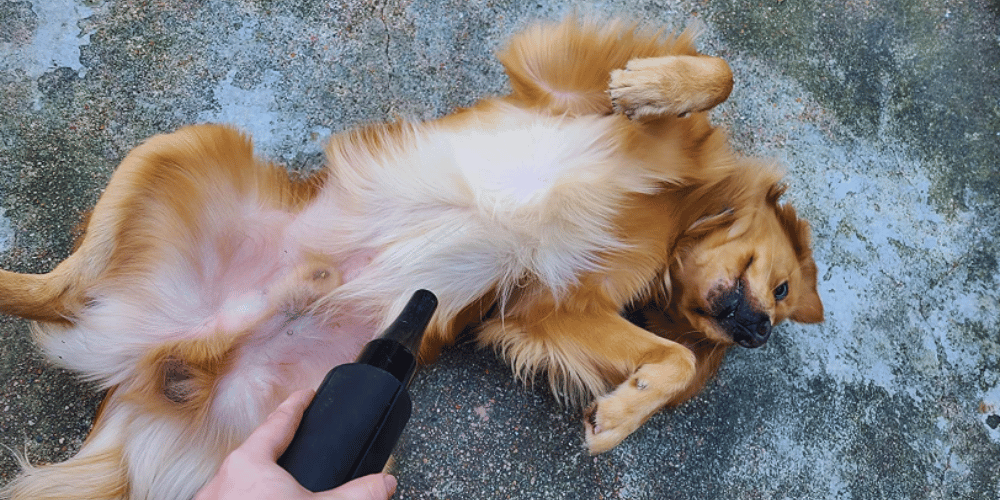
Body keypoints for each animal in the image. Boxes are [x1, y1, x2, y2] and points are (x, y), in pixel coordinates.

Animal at [0, 17, 820, 500]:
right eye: (781, 287)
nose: (757, 333)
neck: (676, 210)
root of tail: (148, 364)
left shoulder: (549, 308)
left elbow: (669, 360)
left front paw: (623, 411)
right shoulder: (560, 77)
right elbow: (720, 72)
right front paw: (656, 87)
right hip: (183, 143)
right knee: (53, 291)